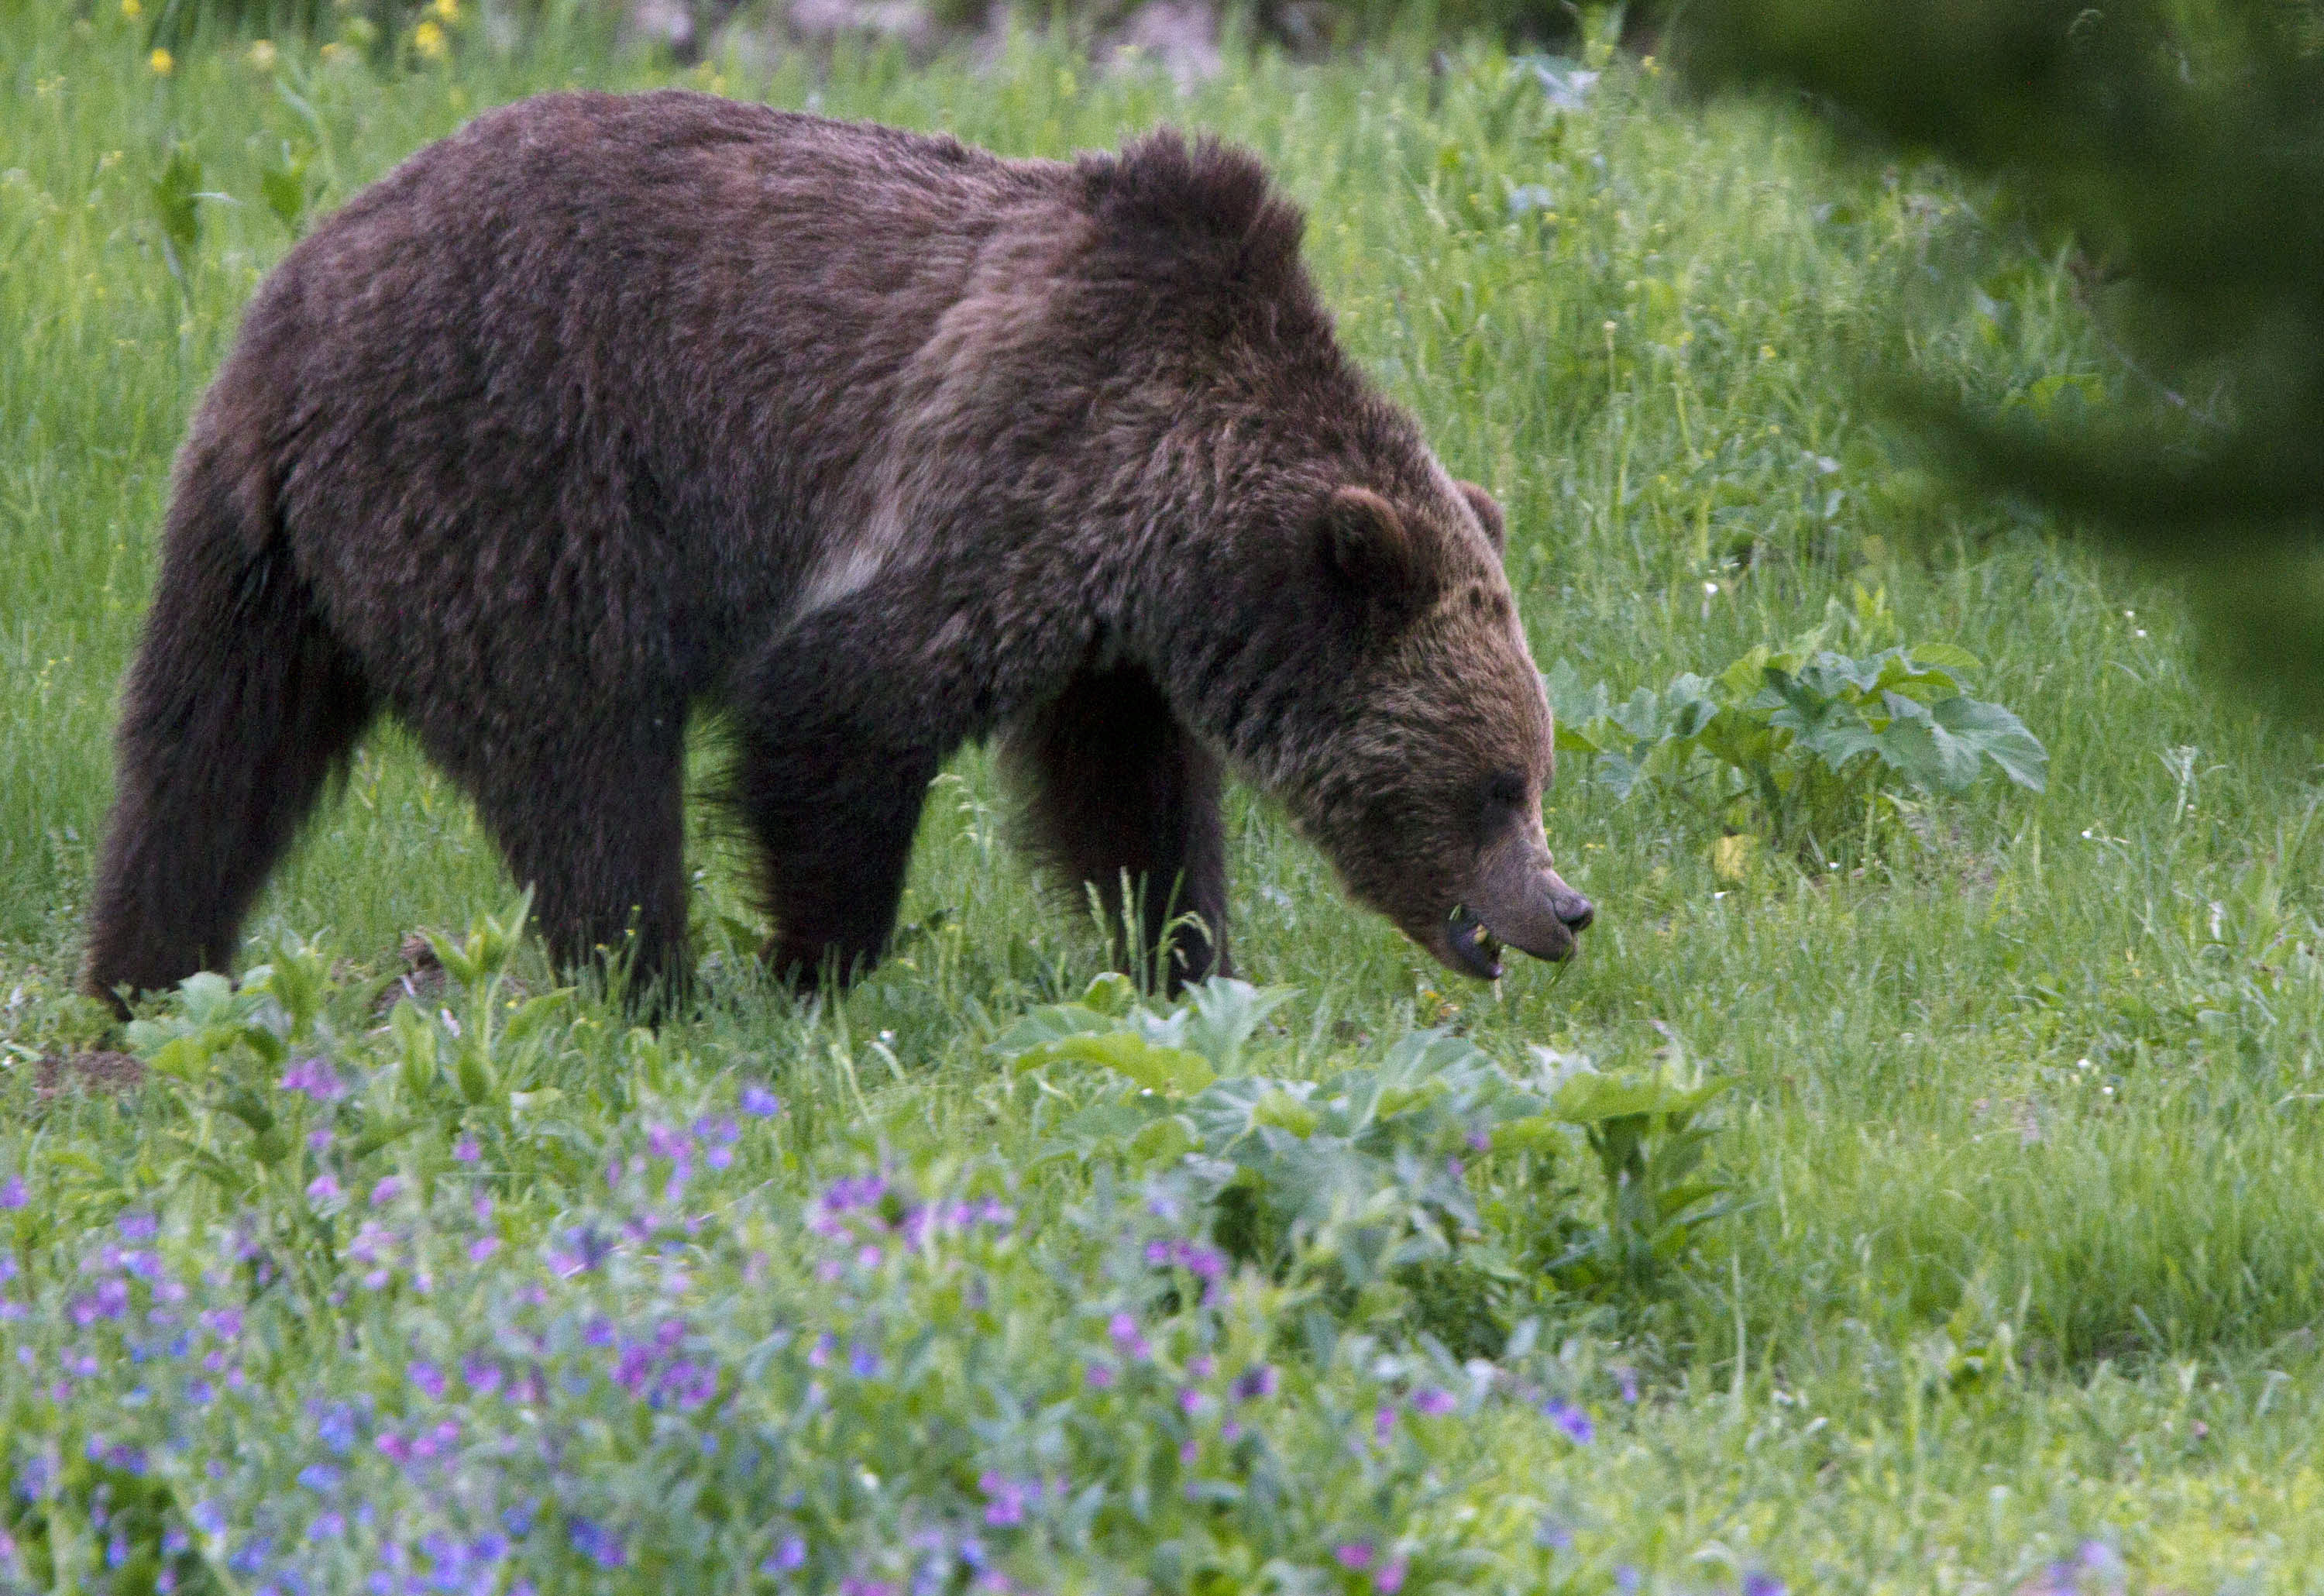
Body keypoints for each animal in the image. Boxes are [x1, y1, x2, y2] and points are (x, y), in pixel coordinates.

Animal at [81, 90, 1590, 1013]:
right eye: (1495, 782)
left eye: (1532, 768)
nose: (1564, 907)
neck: (1174, 510)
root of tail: (289, 321)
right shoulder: (1008, 467)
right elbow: (839, 709)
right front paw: (820, 970)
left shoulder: (1108, 630)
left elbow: (1127, 798)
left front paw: (1185, 959)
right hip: (510, 489)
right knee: (585, 763)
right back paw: (655, 985)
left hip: (264, 562)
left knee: (204, 763)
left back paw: (141, 980)